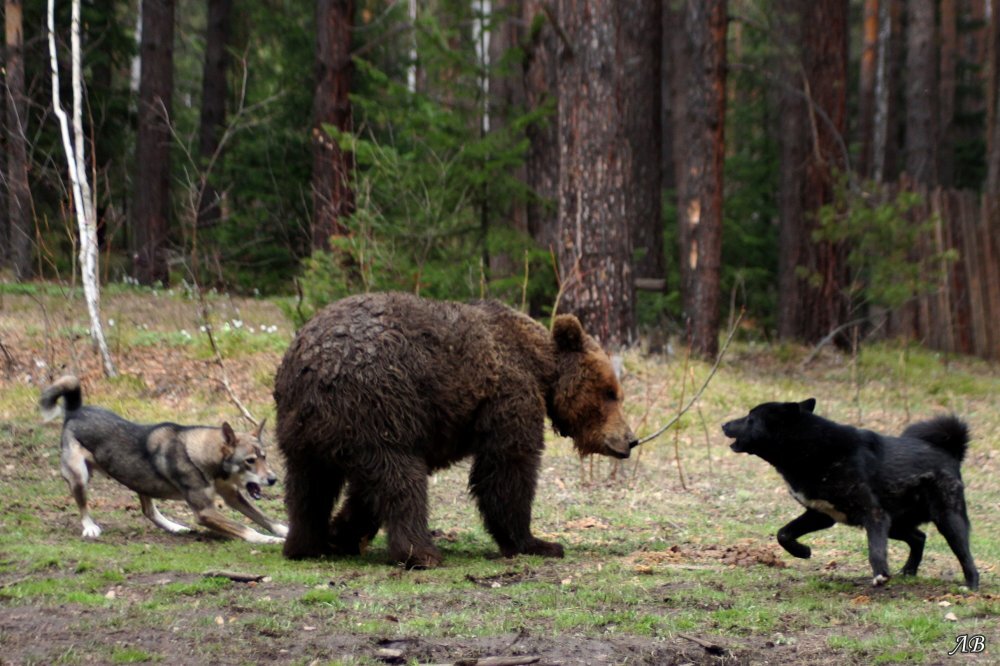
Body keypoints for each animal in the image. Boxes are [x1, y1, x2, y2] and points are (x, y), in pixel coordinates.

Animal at [272, 290, 632, 564]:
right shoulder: (508, 396)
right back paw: (422, 553)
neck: (539, 368)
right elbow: (507, 469)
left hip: (303, 430)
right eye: (610, 392)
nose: (630, 440)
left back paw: (306, 545)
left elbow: (362, 494)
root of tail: (310, 370)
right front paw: (537, 543)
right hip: (379, 402)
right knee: (402, 479)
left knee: (307, 488)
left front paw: (342, 532)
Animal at [724, 396, 980, 588]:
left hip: (947, 521)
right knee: (919, 537)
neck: (811, 447)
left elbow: (875, 550)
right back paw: (909, 571)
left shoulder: (874, 514)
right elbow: (783, 534)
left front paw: (880, 575)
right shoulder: (821, 514)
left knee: (965, 555)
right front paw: (802, 551)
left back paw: (971, 585)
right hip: (896, 524)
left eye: (750, 419)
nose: (724, 425)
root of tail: (950, 451)